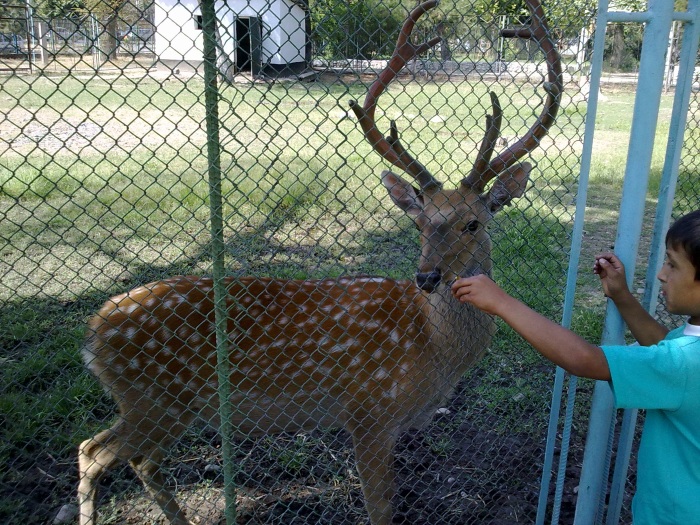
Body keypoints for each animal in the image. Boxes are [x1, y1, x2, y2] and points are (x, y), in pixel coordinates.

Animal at [76, 1, 560, 524]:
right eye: (420, 222)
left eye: (473, 223)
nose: (427, 276)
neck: (436, 352)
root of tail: (93, 332)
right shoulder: (368, 412)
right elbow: (381, 505)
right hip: (152, 399)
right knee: (94, 451)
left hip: (165, 406)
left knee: (130, 458)